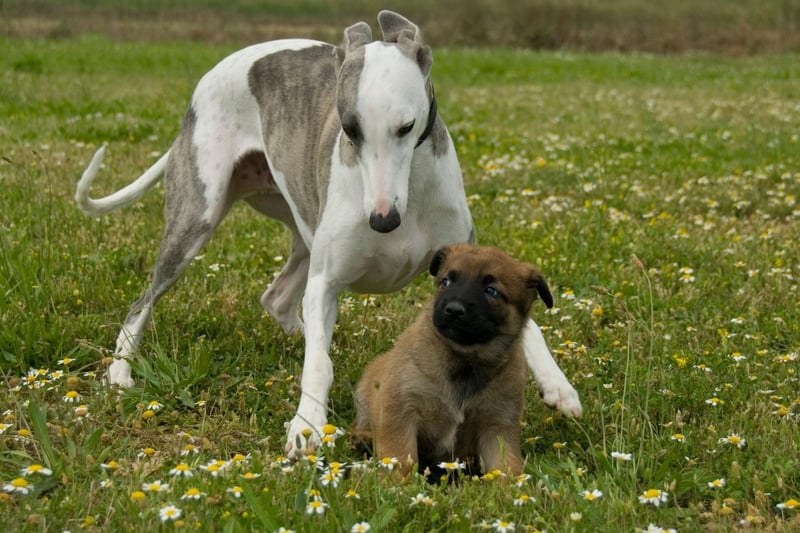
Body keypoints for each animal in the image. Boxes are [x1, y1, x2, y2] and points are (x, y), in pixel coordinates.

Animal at [354, 243, 552, 476]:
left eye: (491, 290)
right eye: (446, 282)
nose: (453, 310)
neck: (466, 360)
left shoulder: (497, 425)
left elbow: (506, 466)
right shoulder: (400, 406)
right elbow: (401, 454)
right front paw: (395, 482)